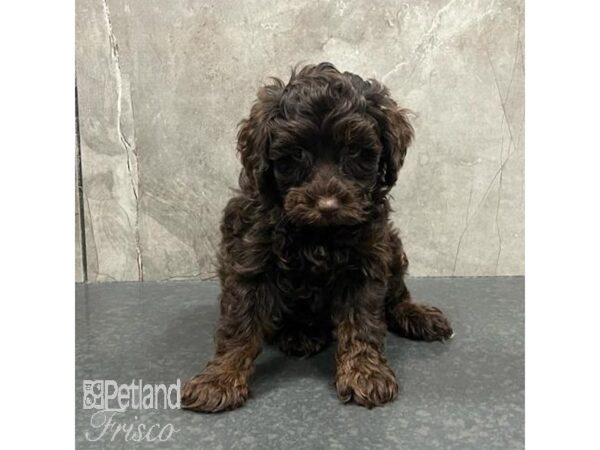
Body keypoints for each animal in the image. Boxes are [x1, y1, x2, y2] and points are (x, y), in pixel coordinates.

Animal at [180, 62, 452, 412]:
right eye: (296, 154)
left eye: (354, 150)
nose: (327, 205)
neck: (318, 234)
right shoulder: (249, 258)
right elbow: (239, 325)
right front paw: (219, 379)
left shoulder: (366, 261)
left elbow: (362, 322)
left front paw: (364, 372)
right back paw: (299, 334)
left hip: (392, 247)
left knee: (396, 295)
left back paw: (415, 315)